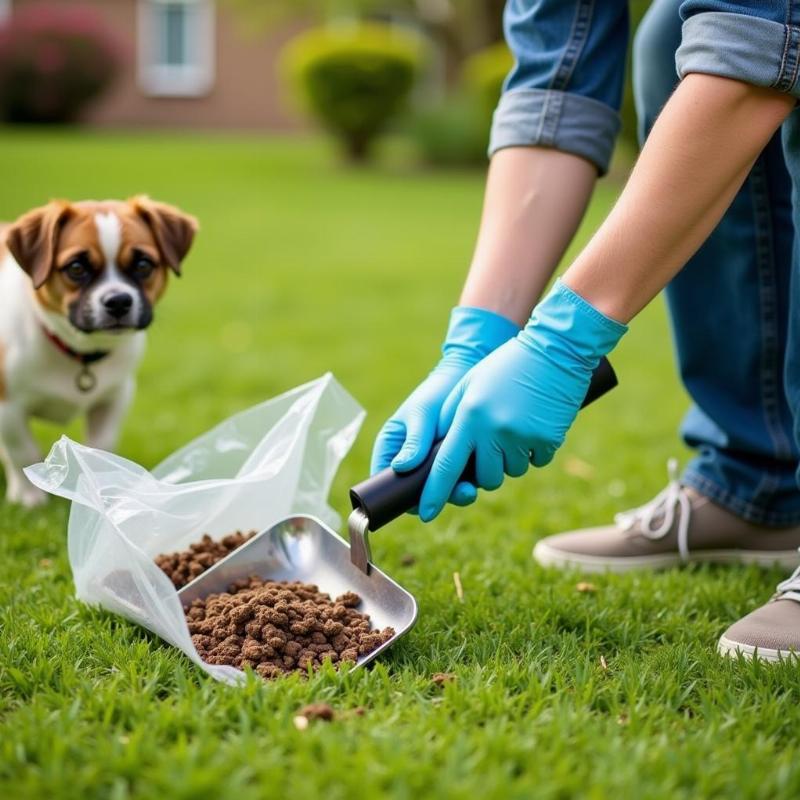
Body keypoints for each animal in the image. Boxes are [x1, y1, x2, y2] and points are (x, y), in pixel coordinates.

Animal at [0, 196, 198, 504]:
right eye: (76, 268)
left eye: (143, 265)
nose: (118, 301)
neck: (77, 350)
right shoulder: (8, 407)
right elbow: (21, 451)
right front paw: (29, 497)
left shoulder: (115, 396)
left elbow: (102, 444)